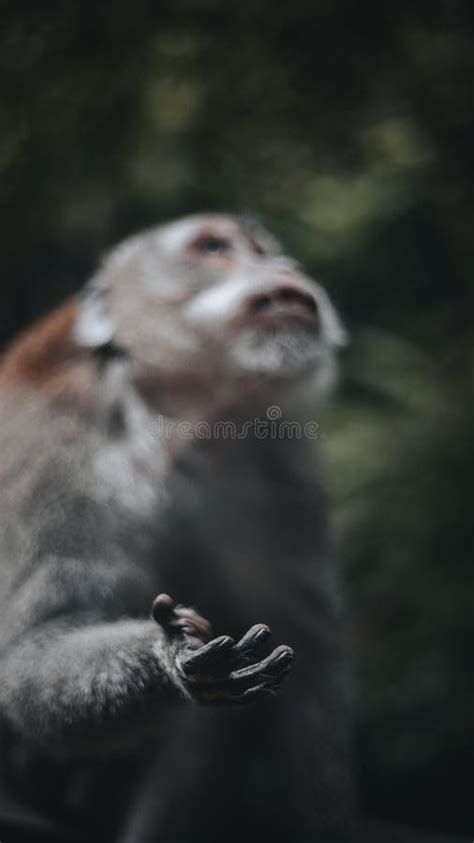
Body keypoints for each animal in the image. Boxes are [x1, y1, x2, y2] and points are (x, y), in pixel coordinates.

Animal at [0, 213, 352, 843]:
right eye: (213, 247)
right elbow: (35, 648)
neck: (179, 425)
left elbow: (310, 659)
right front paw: (169, 655)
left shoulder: (280, 467)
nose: (283, 267)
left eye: (261, 249)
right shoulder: (56, 450)